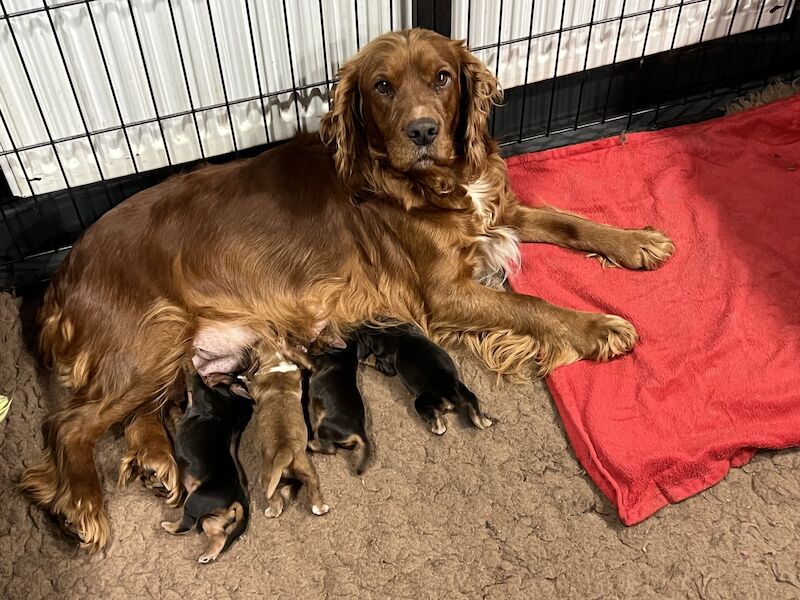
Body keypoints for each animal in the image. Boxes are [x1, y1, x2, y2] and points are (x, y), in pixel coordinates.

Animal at [161, 372, 252, 564]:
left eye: (226, 374)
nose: (210, 373)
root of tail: (240, 497)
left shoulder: (198, 392)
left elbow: (192, 380)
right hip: (212, 518)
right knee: (220, 536)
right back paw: (208, 556)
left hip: (195, 501)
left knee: (187, 524)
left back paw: (169, 526)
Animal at [308, 340, 370, 476]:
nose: (312, 342)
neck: (347, 354)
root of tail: (360, 432)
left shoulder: (315, 360)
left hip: (323, 426)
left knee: (331, 449)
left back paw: (312, 445)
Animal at [358, 326, 494, 434]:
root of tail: (449, 390)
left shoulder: (387, 365)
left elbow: (375, 361)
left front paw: (364, 359)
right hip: (466, 393)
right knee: (474, 407)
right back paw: (486, 422)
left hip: (422, 401)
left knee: (438, 424)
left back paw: (434, 428)